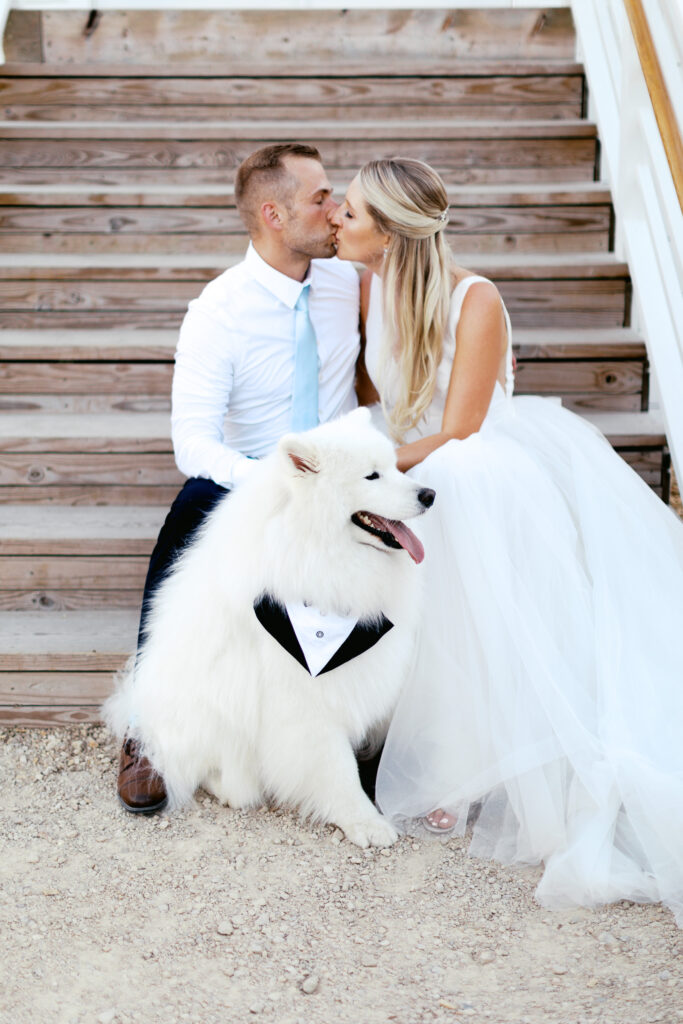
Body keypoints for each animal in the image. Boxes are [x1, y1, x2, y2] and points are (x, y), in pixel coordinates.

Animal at [104, 407, 436, 847]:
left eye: (396, 467)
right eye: (372, 476)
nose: (429, 495)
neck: (318, 554)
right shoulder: (304, 695)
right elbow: (336, 767)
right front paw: (364, 821)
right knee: (207, 771)